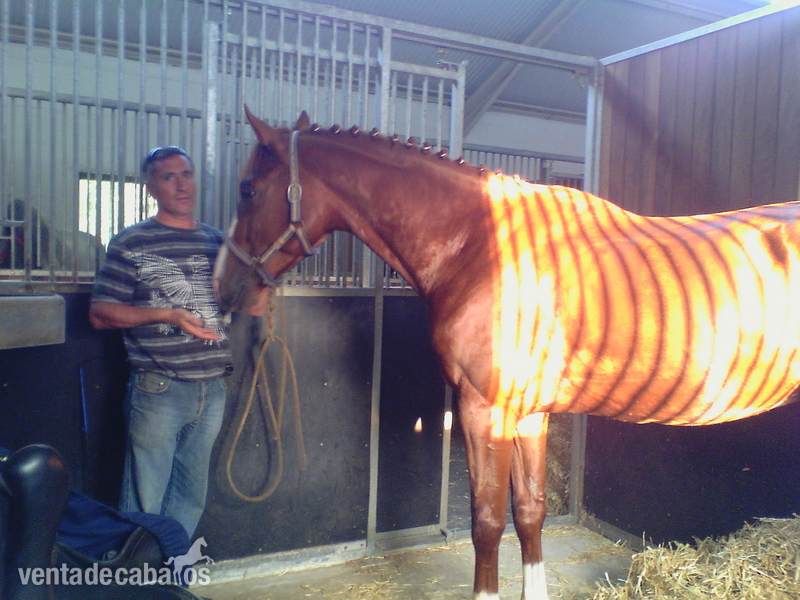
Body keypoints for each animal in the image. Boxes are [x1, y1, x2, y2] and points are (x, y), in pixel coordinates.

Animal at [213, 107, 800, 600]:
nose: (223, 288)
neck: (482, 243)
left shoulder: (483, 408)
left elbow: (488, 522)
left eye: (247, 190)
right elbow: (530, 513)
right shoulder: (530, 413)